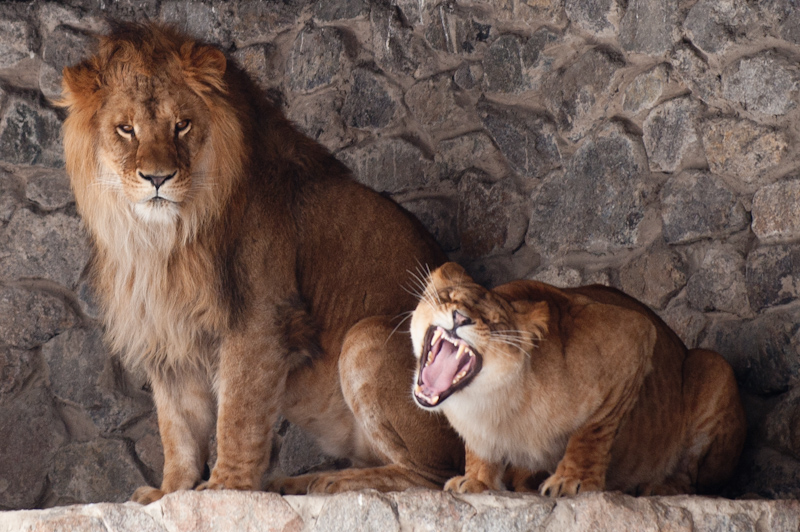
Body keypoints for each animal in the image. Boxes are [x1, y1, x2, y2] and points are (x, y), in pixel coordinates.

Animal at [57, 21, 462, 502]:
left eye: (181, 125)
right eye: (125, 129)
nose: (158, 178)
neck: (165, 241)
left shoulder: (259, 319)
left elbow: (239, 415)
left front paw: (225, 489)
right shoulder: (167, 332)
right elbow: (177, 426)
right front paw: (171, 492)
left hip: (368, 338)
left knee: (432, 478)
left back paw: (328, 483)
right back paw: (296, 482)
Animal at [410, 264, 748, 496]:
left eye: (494, 322)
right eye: (448, 297)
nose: (460, 318)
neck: (490, 400)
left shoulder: (633, 334)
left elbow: (593, 431)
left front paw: (573, 481)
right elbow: (479, 449)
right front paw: (477, 480)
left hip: (713, 364)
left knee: (691, 478)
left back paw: (659, 487)